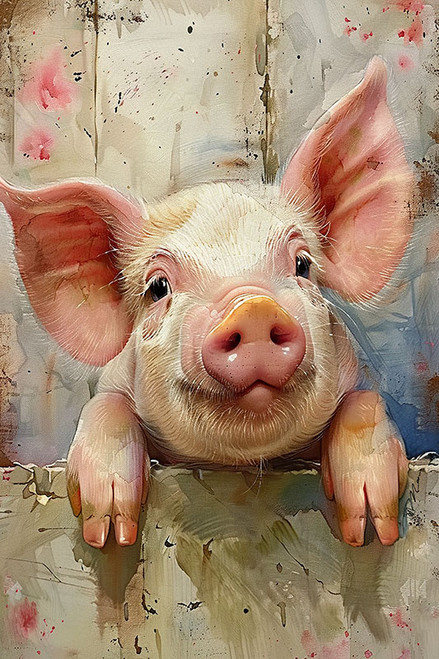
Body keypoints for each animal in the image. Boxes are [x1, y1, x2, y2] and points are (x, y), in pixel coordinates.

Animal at [0, 57, 413, 550]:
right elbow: (105, 407)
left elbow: (364, 402)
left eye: (303, 263)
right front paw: (107, 533)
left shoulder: (356, 381)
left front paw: (372, 530)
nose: (252, 308)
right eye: (158, 287)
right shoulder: (114, 385)